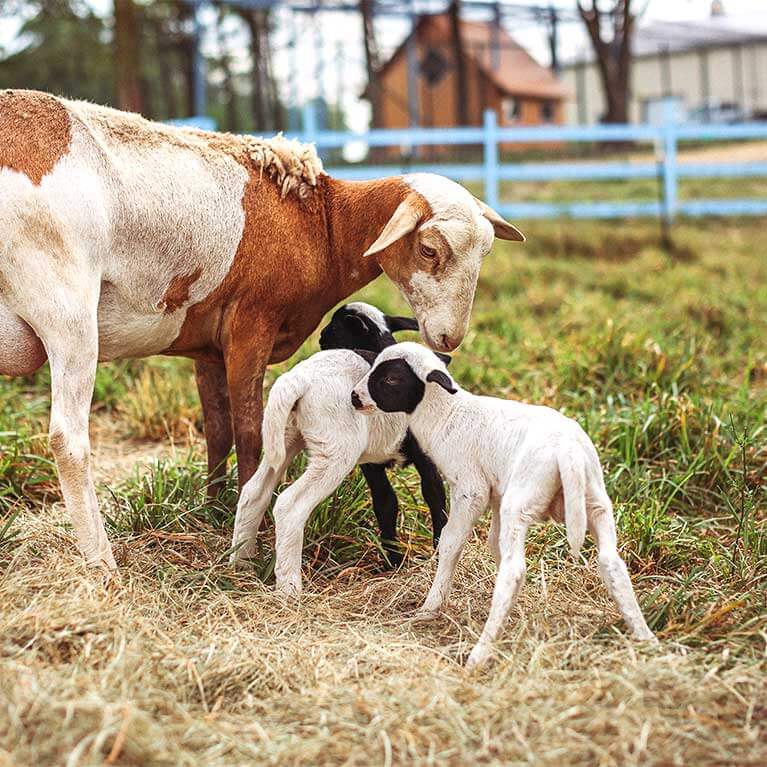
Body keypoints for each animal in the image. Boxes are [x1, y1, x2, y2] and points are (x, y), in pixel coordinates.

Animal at [229, 302, 450, 574]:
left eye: (333, 334)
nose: (321, 339)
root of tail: (298, 380)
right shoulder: (421, 453)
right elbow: (434, 495)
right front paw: (436, 552)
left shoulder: (372, 463)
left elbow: (387, 503)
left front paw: (393, 562)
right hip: (335, 452)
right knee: (290, 507)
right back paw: (289, 582)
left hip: (283, 438)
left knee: (253, 492)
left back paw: (240, 562)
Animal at [351, 342, 657, 669]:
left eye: (391, 379)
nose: (354, 397)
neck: (448, 415)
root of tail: (568, 453)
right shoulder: (496, 495)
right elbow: (494, 545)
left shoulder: (470, 489)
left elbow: (450, 542)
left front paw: (431, 607)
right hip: (594, 501)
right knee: (611, 561)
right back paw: (645, 636)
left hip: (521, 502)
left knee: (515, 570)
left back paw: (479, 653)